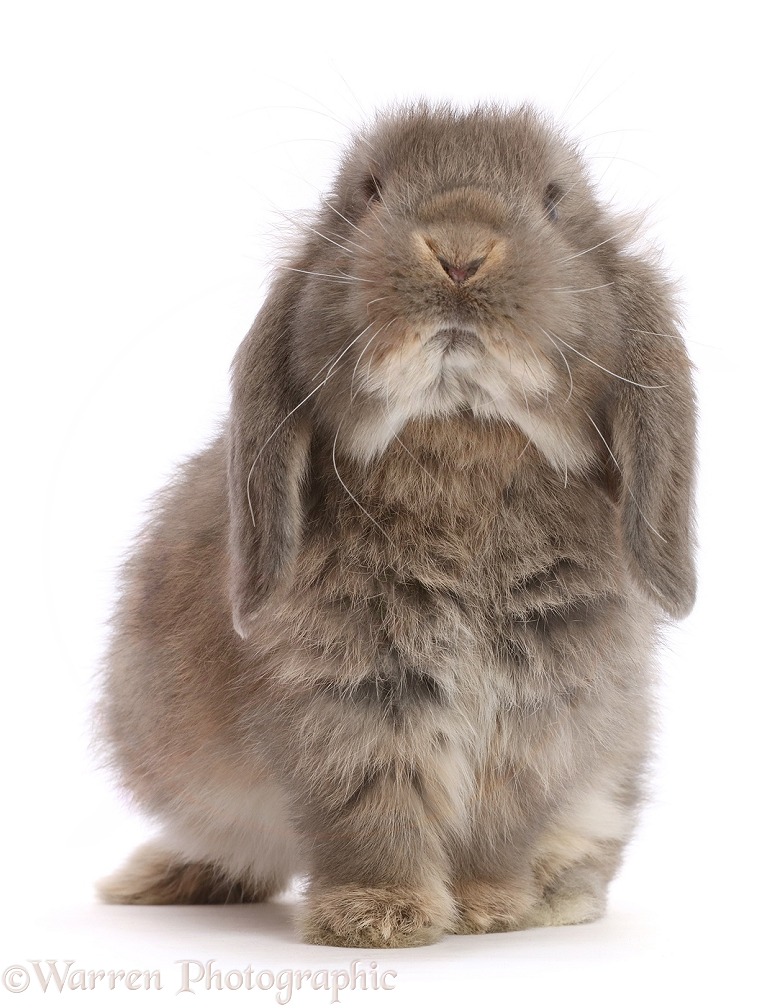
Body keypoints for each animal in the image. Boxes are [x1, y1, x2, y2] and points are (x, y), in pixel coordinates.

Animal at [94, 102, 701, 943]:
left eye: (555, 201)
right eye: (370, 193)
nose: (459, 251)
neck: (461, 437)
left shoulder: (540, 713)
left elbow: (499, 826)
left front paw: (486, 909)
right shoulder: (352, 702)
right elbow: (371, 814)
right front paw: (379, 916)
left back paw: (557, 898)